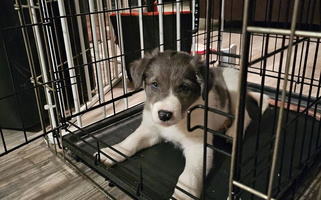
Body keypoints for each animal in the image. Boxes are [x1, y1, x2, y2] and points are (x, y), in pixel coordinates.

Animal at [94, 49, 268, 199]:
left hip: (234, 88)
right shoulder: (151, 129)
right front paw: (112, 152)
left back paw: (232, 130)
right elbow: (131, 141)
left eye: (184, 88)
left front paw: (183, 195)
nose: (164, 115)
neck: (179, 123)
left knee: (246, 116)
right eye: (155, 84)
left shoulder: (198, 146)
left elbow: (189, 176)